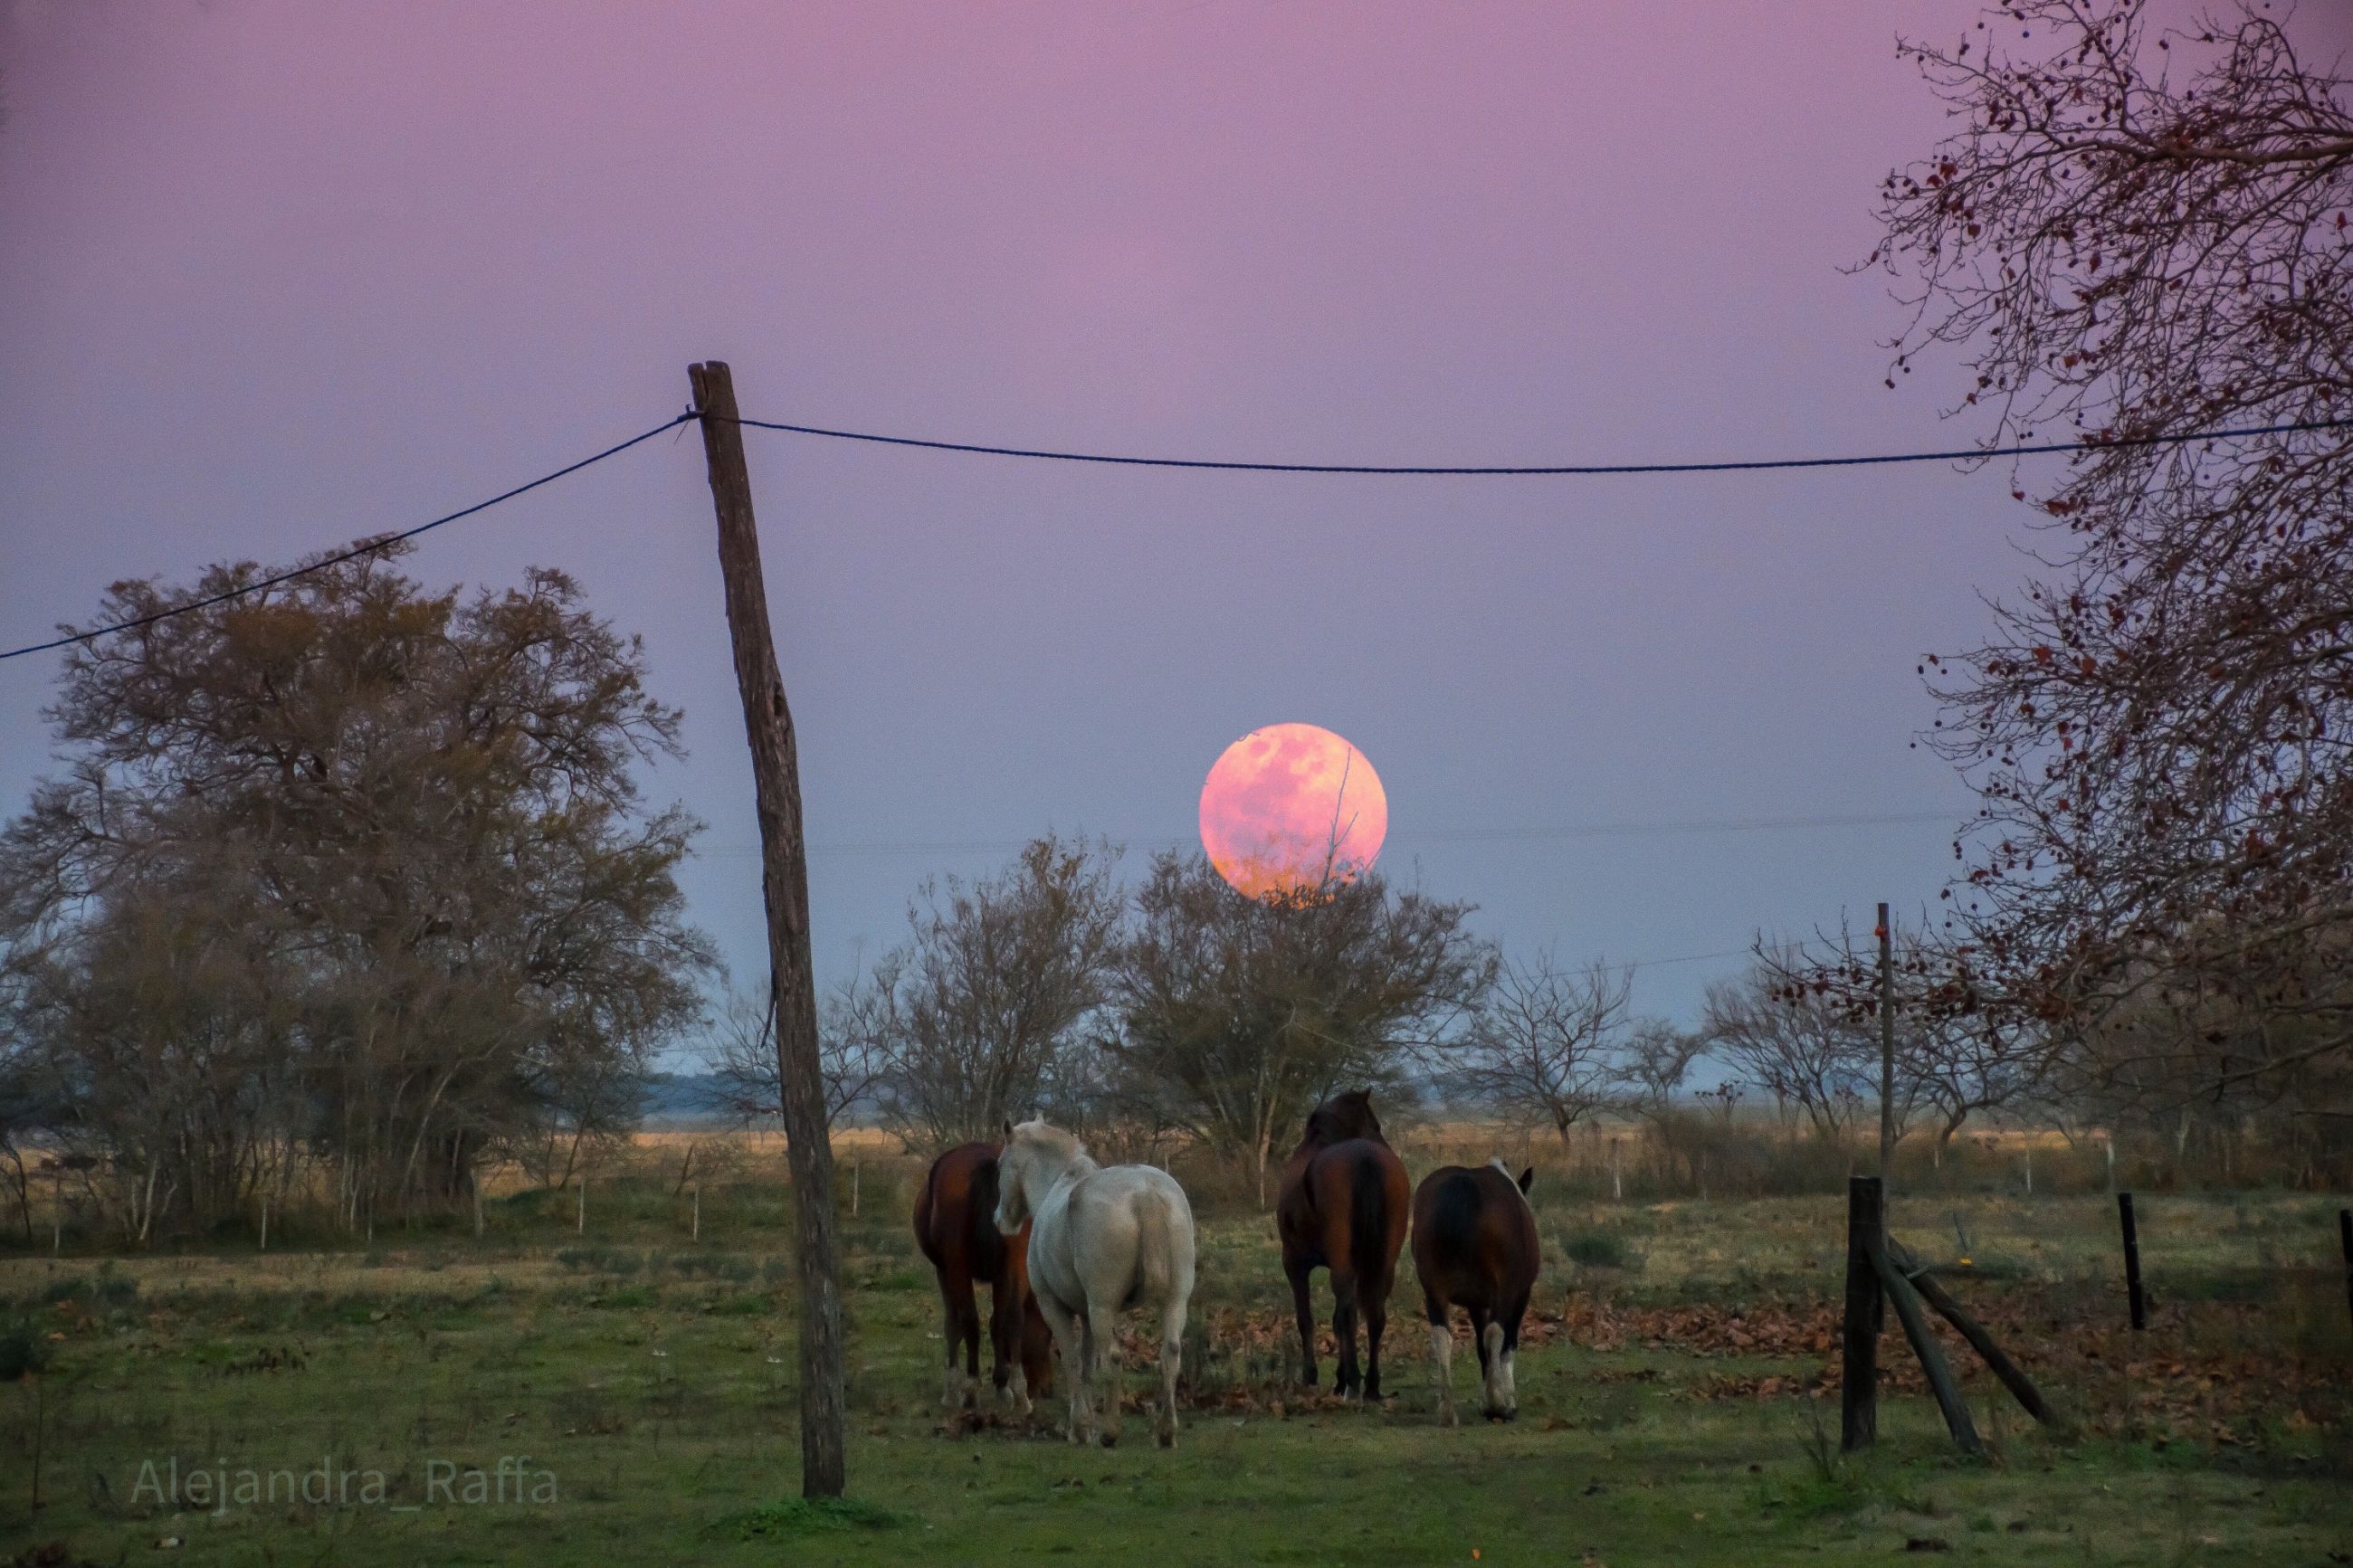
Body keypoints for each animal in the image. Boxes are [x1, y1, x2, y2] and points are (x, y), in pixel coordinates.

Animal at [912, 1146, 1053, 1420]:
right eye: (1049, 1337)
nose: (1047, 1389)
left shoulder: (944, 1271)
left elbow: (954, 1325)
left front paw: (953, 1388)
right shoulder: (1001, 1273)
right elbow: (998, 1322)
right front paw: (1000, 1383)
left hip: (958, 1267)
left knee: (970, 1320)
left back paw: (973, 1388)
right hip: (1013, 1260)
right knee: (1012, 1317)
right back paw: (1017, 1393)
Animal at [993, 1114, 1195, 1448]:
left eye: (1000, 1164)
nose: (1000, 1221)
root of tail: (1145, 1193)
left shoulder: (1055, 1307)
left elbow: (1073, 1361)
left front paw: (1080, 1427)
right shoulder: (1085, 1314)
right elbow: (1087, 1366)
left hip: (1103, 1307)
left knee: (1112, 1359)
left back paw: (1110, 1431)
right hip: (1175, 1301)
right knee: (1171, 1355)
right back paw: (1166, 1433)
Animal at [1280, 1090, 1402, 1401]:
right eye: (1376, 1125)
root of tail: (1364, 1157)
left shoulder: (1295, 1264)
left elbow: (1307, 1319)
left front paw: (1311, 1375)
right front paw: (1338, 1378)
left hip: (1341, 1265)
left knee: (1347, 1315)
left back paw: (1353, 1381)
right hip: (1383, 1264)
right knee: (1375, 1315)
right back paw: (1371, 1385)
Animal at [1412, 1161, 1543, 1429]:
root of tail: (1462, 1185)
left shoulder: (1475, 1304)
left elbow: (1482, 1350)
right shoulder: (1519, 1295)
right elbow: (1507, 1344)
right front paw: (1505, 1400)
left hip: (1434, 1293)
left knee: (1441, 1336)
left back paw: (1448, 1413)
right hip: (1504, 1294)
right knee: (1495, 1333)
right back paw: (1498, 1405)